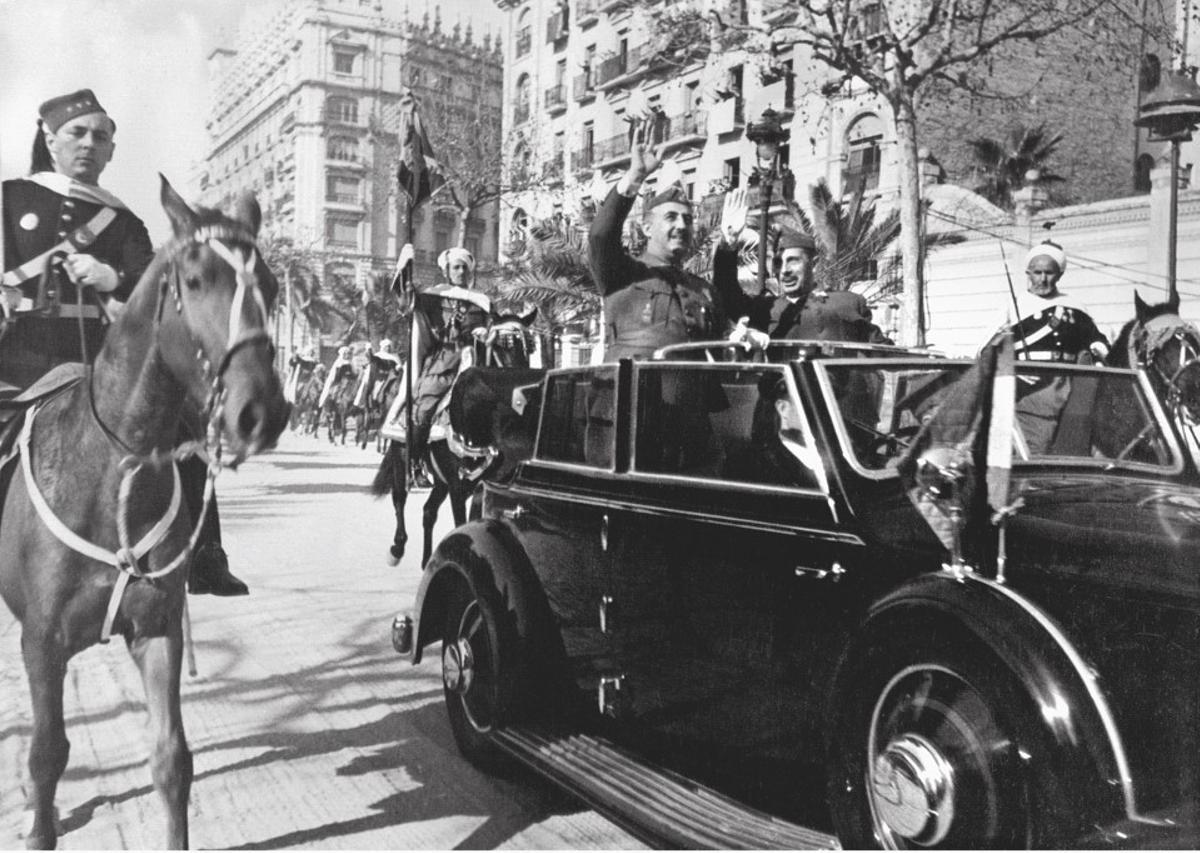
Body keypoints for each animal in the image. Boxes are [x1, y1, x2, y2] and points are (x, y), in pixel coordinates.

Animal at [0, 176, 289, 849]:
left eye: (270, 285)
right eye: (195, 278)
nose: (262, 411)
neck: (112, 471)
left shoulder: (157, 631)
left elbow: (172, 761)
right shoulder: (42, 644)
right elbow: (47, 756)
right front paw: (38, 818)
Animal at [367, 311, 542, 566]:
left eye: (529, 347)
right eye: (500, 346)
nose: (521, 392)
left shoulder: (481, 487)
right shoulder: (458, 487)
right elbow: (461, 524)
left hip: (441, 481)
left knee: (428, 511)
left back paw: (426, 562)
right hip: (402, 456)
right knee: (399, 497)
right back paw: (397, 548)